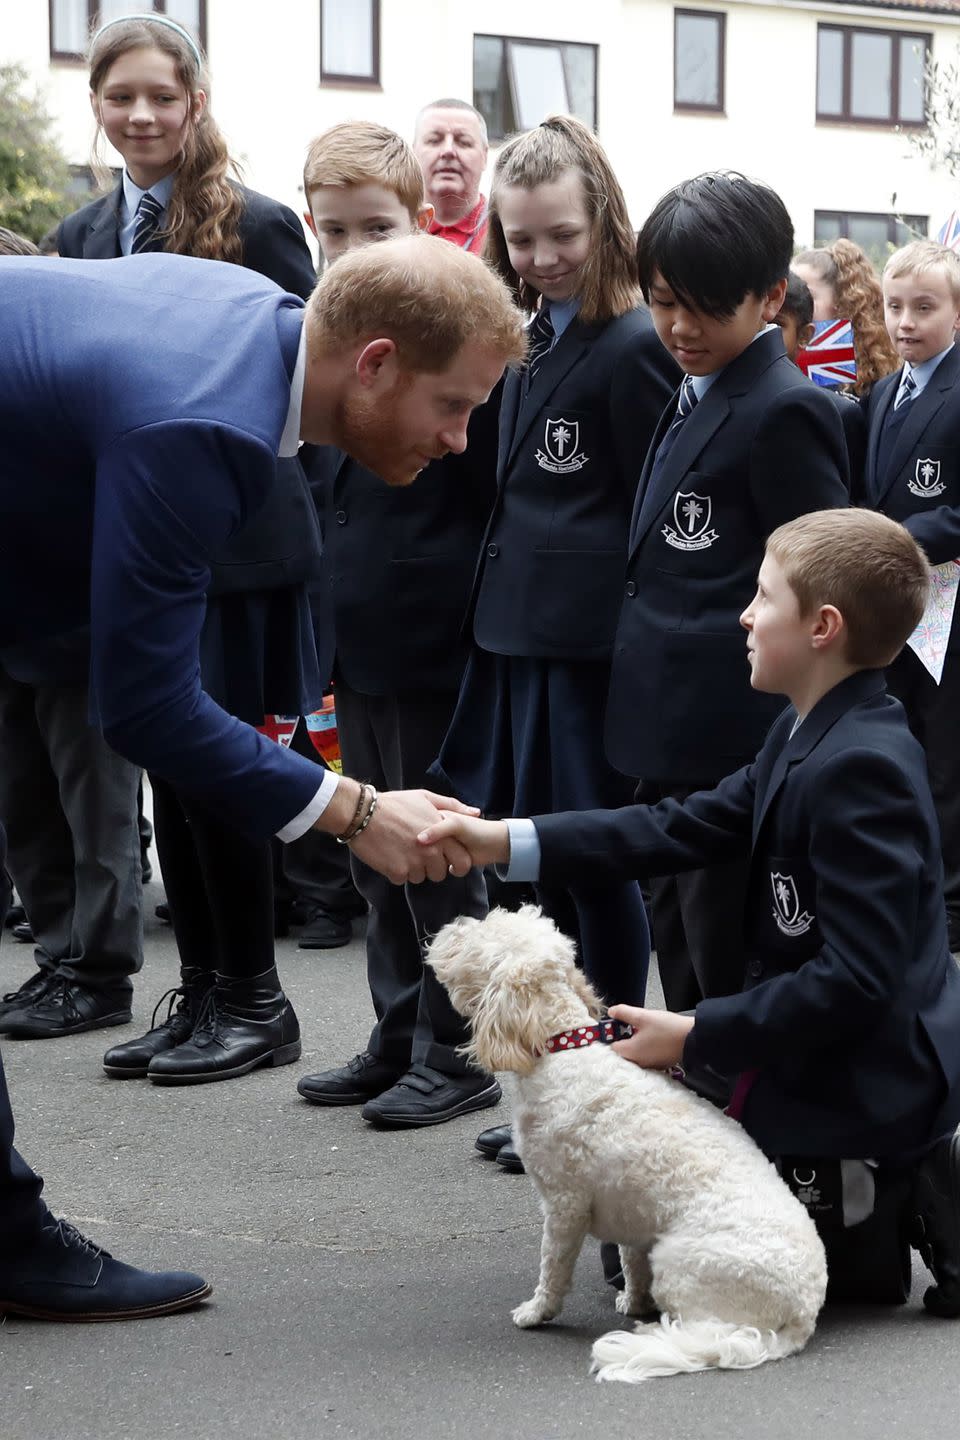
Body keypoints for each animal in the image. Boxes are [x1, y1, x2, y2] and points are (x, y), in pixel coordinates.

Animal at [423, 898, 829, 1382]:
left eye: (484, 934)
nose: (451, 925)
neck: (567, 1049)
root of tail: (804, 1312)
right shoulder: (631, 1211)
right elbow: (630, 1263)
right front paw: (633, 1302)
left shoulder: (564, 1205)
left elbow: (552, 1267)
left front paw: (537, 1312)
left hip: (678, 1263)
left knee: (704, 1330)